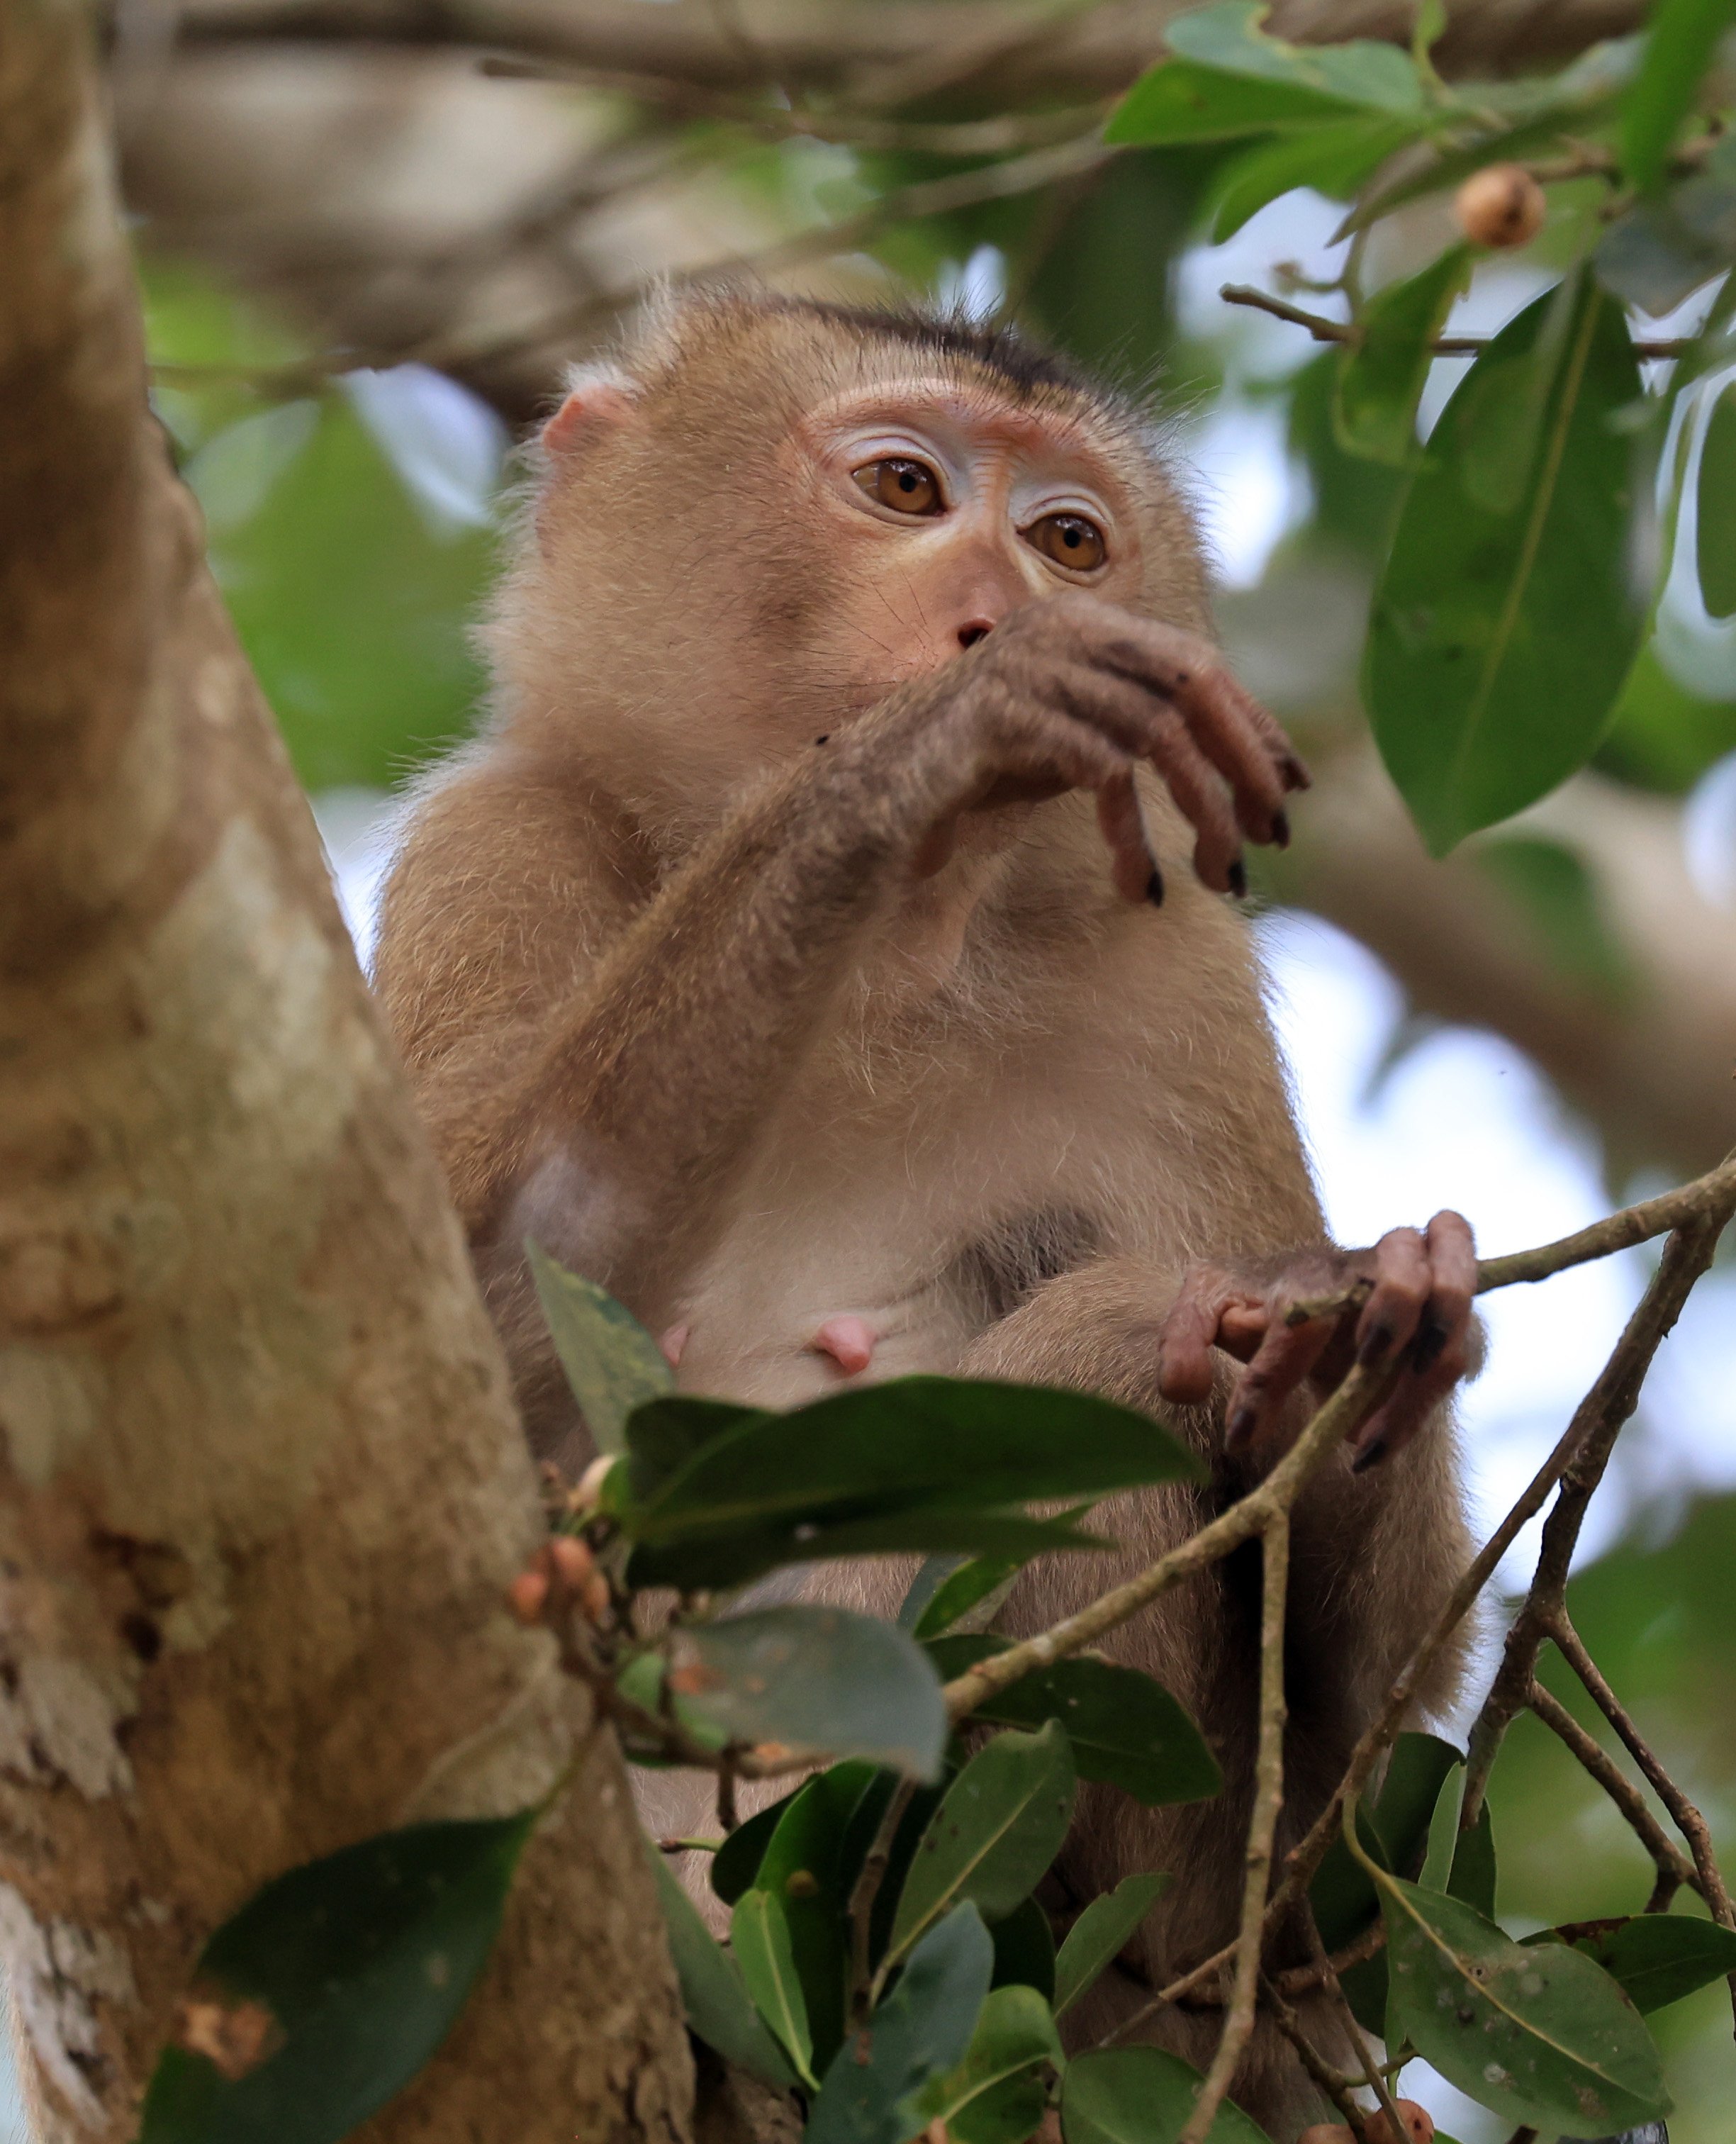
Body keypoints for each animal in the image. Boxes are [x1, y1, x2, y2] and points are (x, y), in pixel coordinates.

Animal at [369, 290, 1478, 2135]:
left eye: (1068, 541)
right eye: (903, 486)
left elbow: (1333, 1834)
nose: (1000, 611)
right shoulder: (489, 841)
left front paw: (1361, 1337)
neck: (889, 976)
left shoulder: (1178, 997)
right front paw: (915, 764)